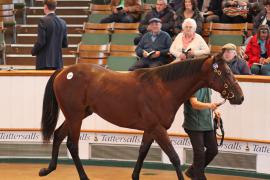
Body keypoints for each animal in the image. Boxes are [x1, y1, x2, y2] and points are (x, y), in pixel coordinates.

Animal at [39, 54, 244, 180]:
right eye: (226, 72)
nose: (240, 97)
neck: (164, 88)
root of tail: (64, 71)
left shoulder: (150, 129)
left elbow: (142, 152)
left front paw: (135, 176)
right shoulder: (158, 129)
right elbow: (174, 158)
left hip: (77, 115)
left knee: (58, 135)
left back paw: (48, 169)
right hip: (75, 117)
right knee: (72, 145)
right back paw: (83, 176)